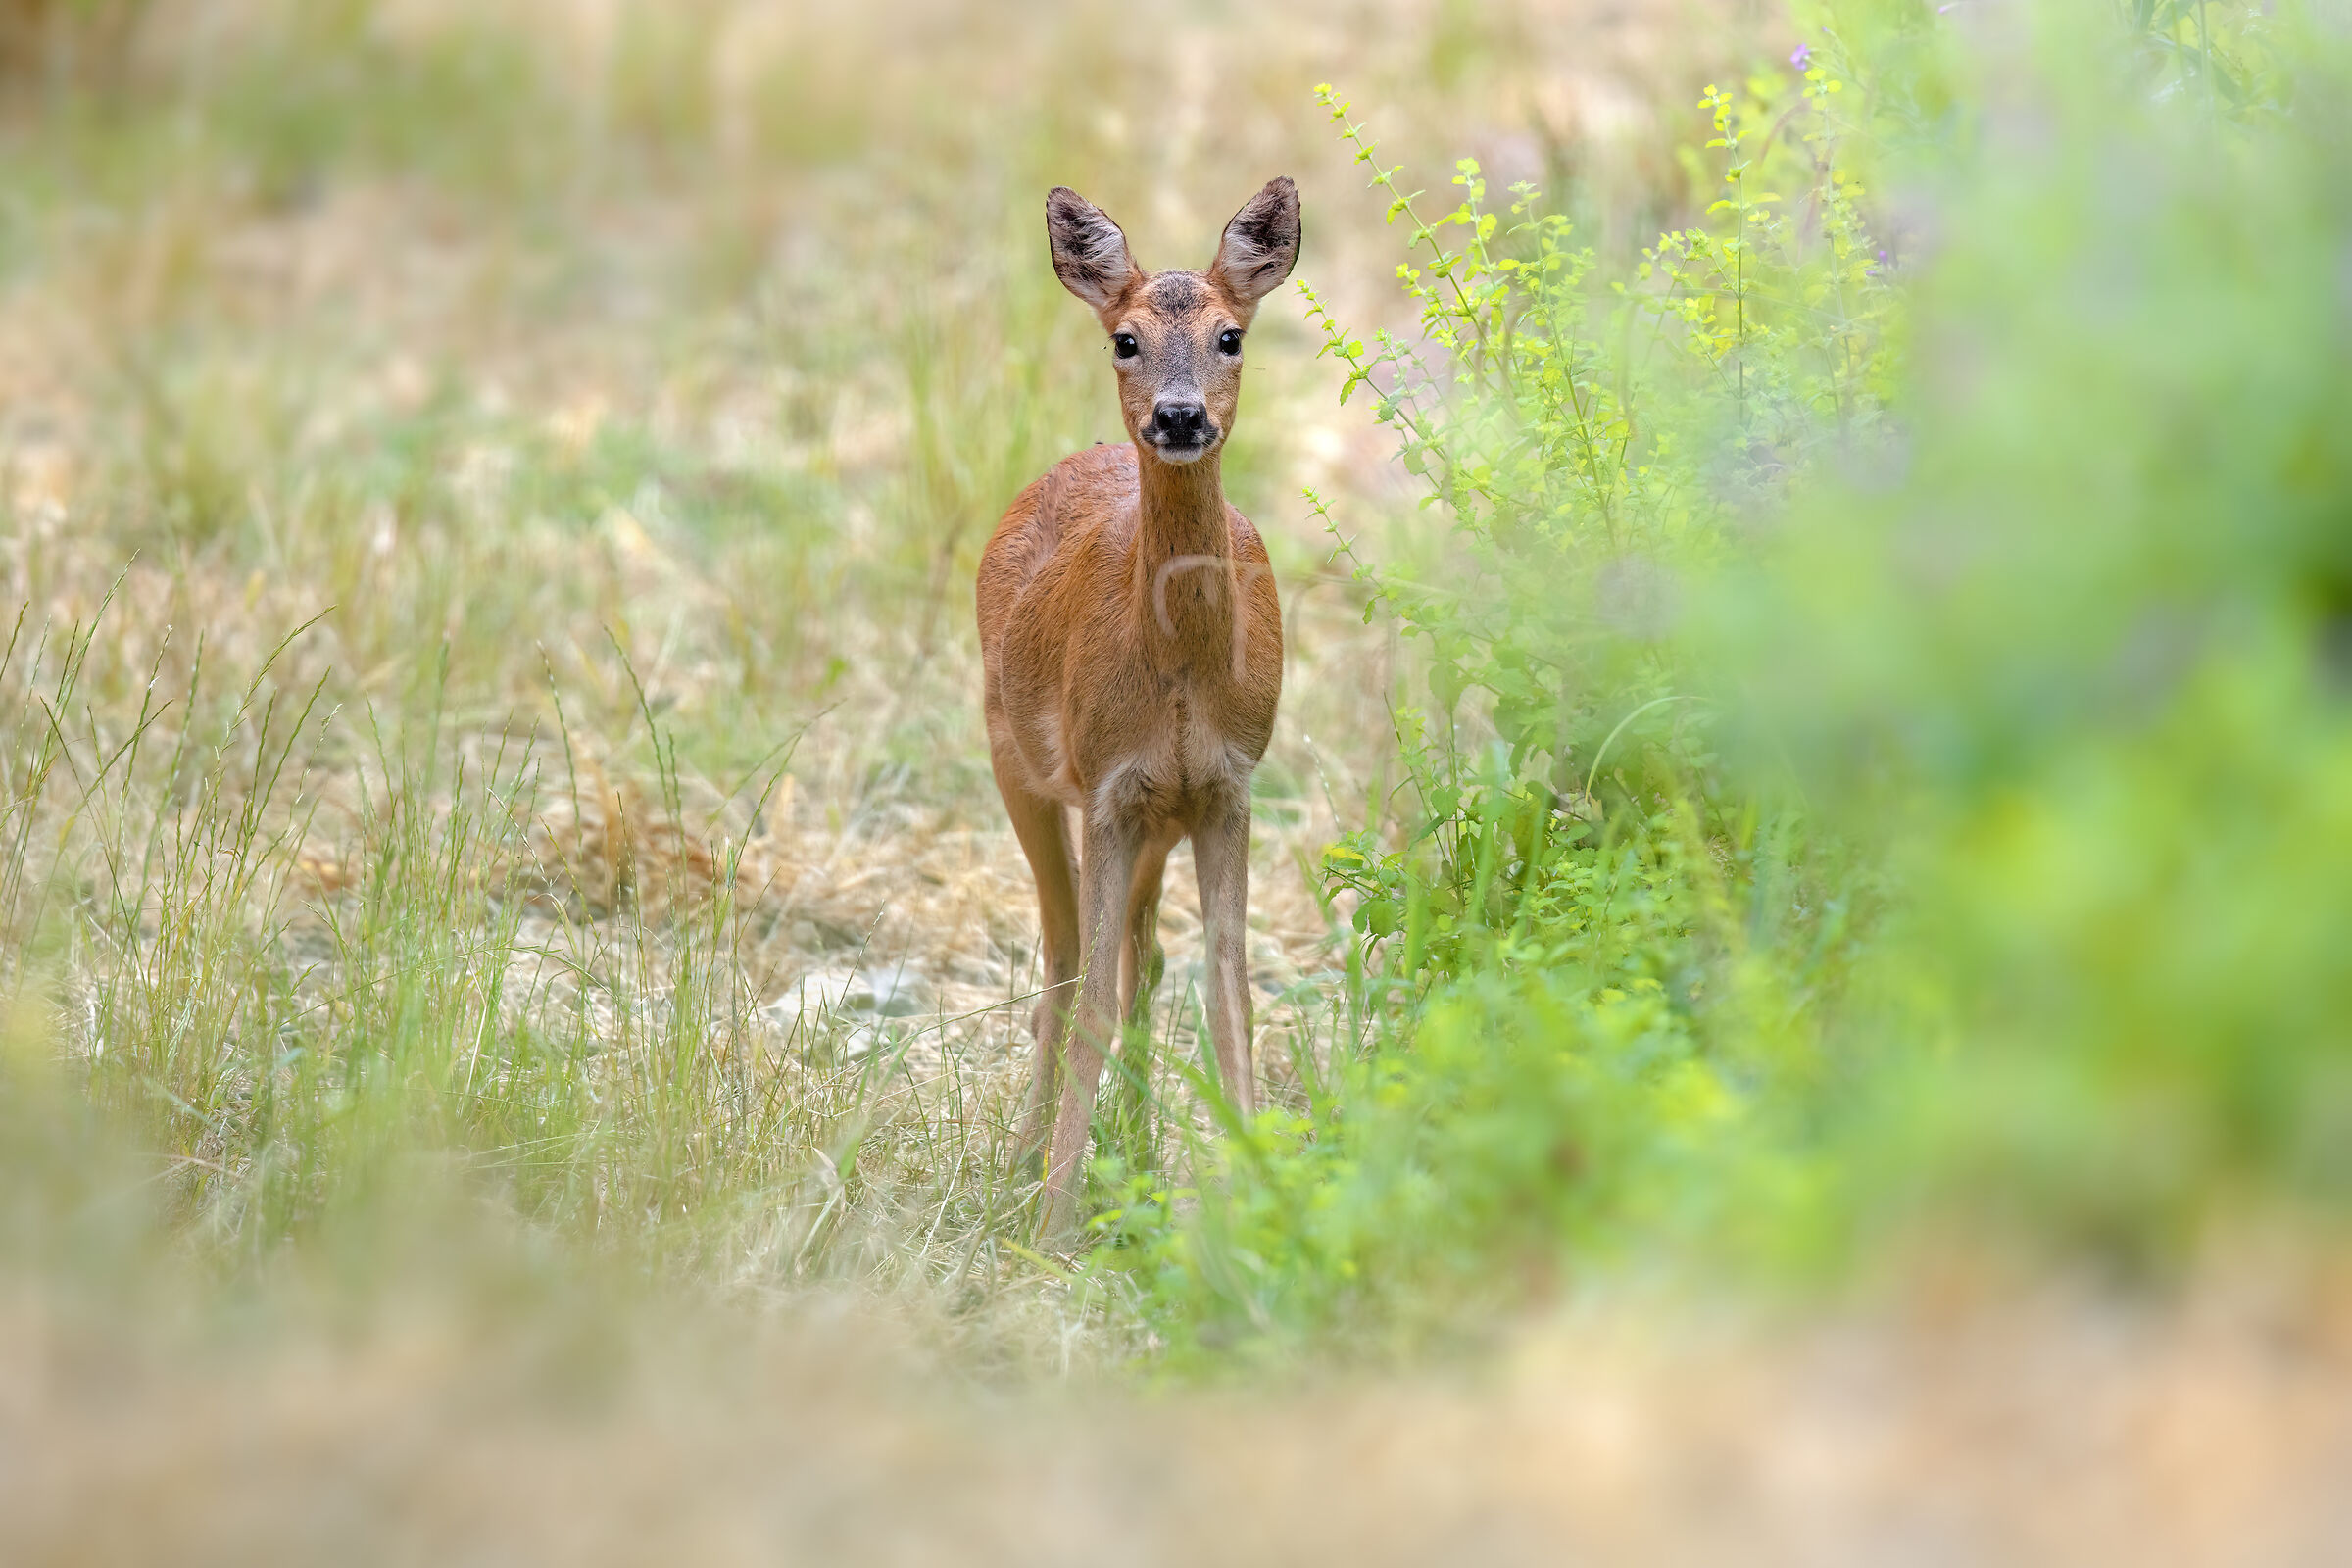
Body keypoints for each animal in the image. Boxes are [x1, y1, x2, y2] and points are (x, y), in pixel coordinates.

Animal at [976, 177, 1300, 1246]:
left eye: (1231, 334)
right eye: (1124, 338)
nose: (1180, 415)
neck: (1181, 681)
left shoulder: (1229, 787)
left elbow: (1230, 993)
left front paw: (1259, 1200)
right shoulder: (1110, 789)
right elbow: (1086, 1001)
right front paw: (1051, 1230)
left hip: (1159, 817)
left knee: (1142, 960)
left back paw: (1139, 1144)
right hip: (1018, 764)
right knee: (1067, 958)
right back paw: (1023, 1160)